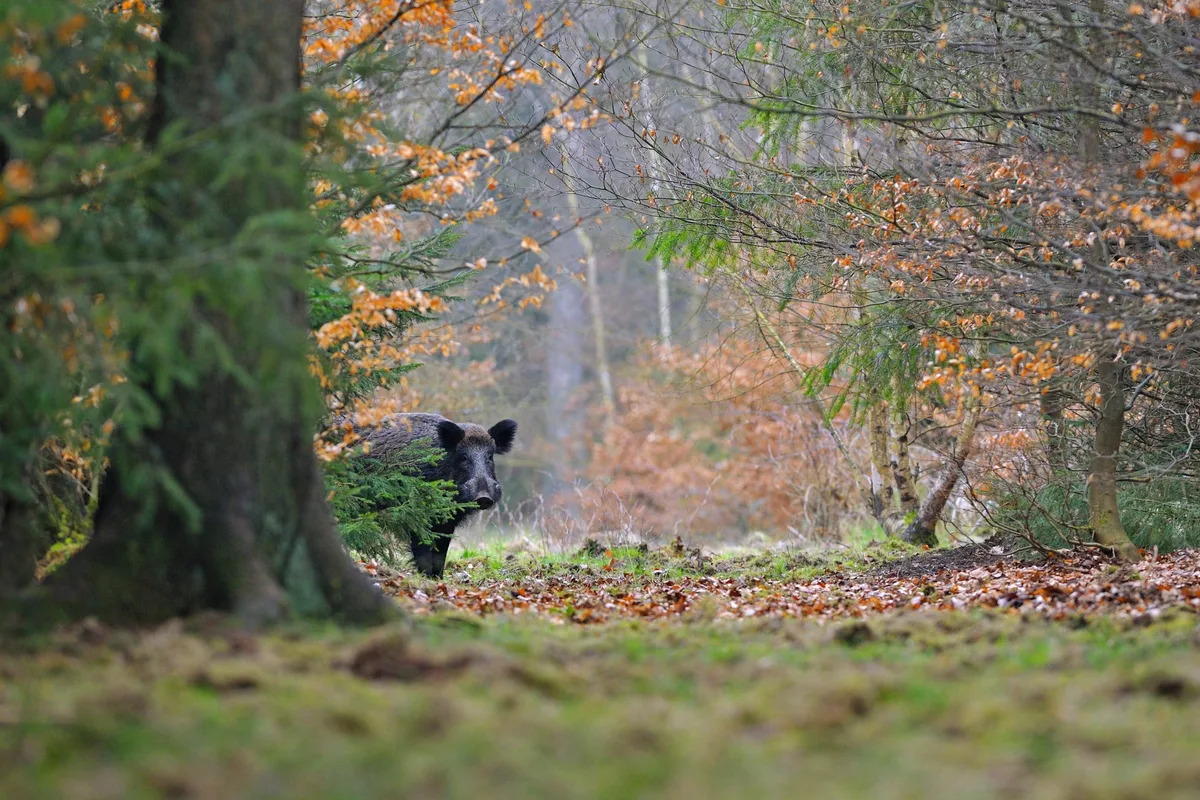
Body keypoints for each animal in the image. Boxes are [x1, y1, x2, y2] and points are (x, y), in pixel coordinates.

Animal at [361, 413, 516, 578]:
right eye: (463, 457)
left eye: (489, 457)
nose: (484, 497)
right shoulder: (418, 516)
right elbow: (423, 552)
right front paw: (426, 578)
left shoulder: (447, 522)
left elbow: (440, 554)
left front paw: (438, 579)